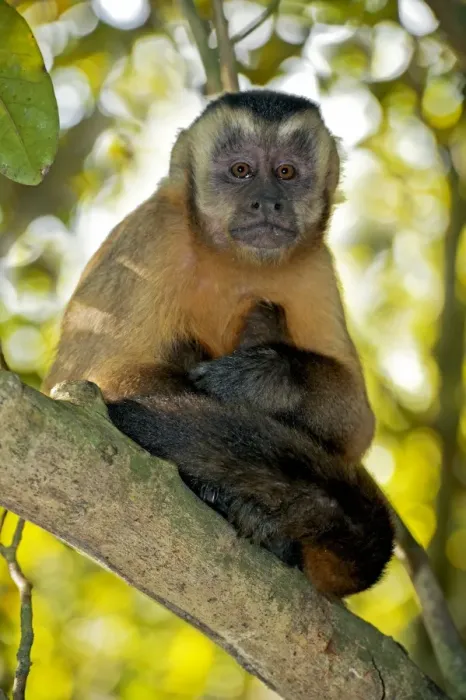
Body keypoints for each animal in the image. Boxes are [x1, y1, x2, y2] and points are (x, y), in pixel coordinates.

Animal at [43, 89, 394, 597]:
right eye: (241, 170)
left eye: (286, 172)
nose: (267, 203)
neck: (233, 261)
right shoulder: (152, 238)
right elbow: (100, 379)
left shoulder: (316, 268)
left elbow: (357, 423)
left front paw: (261, 381)